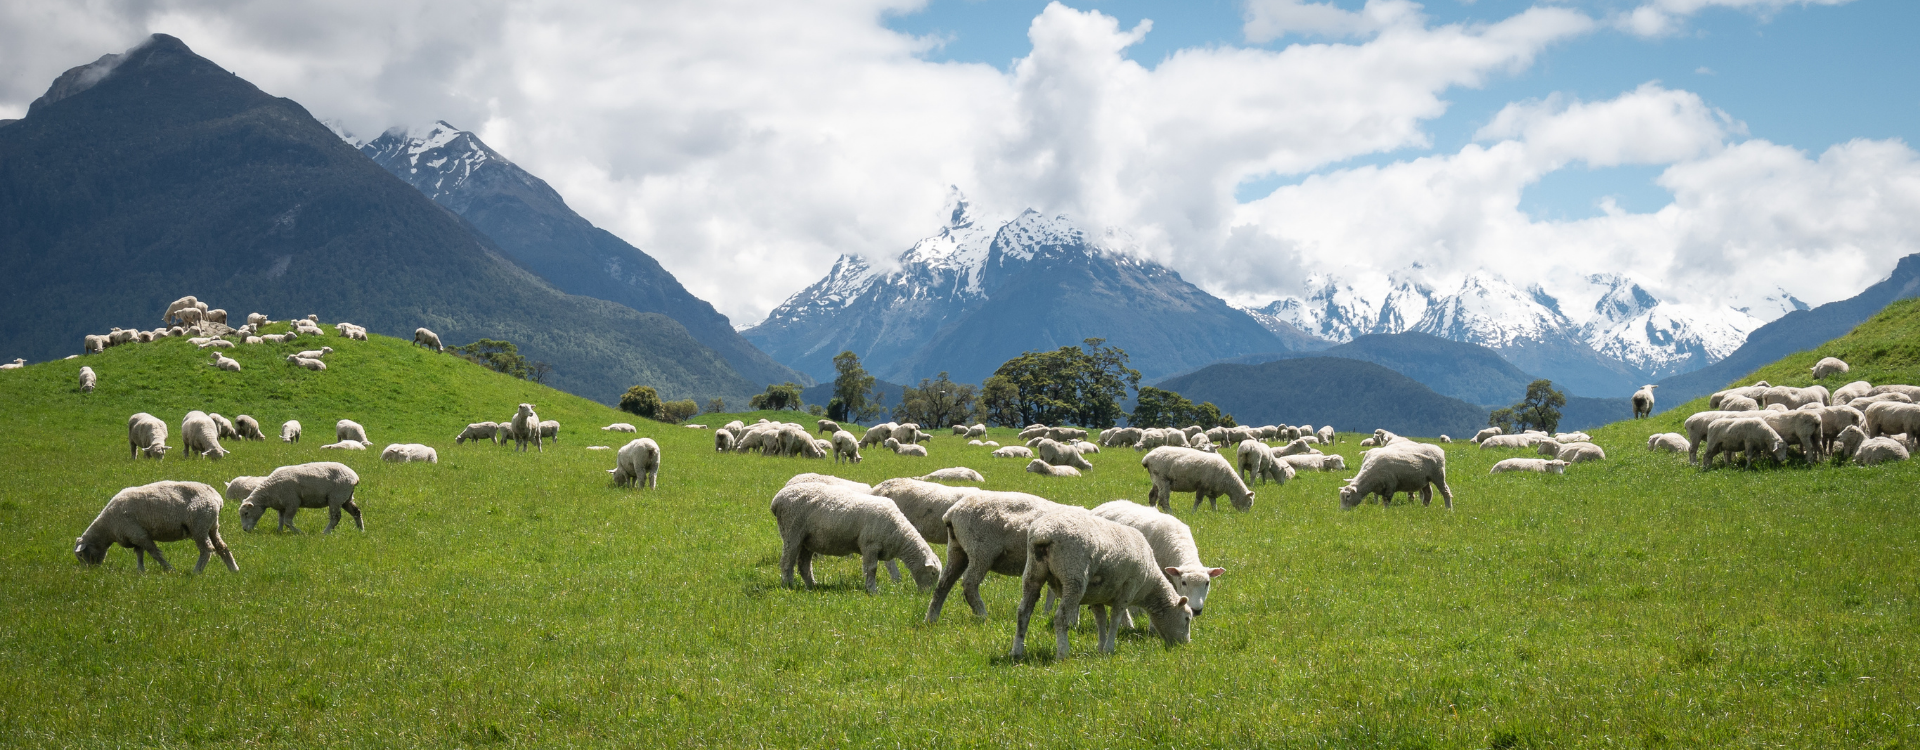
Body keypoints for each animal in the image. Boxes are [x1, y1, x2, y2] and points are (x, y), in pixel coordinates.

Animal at [72, 481, 236, 575]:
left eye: (80, 555)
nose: (89, 571)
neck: (107, 527)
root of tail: (217, 498)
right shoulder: (136, 535)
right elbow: (139, 553)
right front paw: (141, 571)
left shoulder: (138, 534)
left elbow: (154, 553)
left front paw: (169, 569)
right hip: (212, 526)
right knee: (222, 547)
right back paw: (234, 570)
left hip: (199, 525)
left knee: (206, 550)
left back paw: (196, 572)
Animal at [768, 481, 940, 594]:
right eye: (933, 574)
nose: (928, 595)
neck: (899, 533)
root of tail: (777, 499)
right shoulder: (870, 545)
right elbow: (871, 569)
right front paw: (872, 590)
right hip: (791, 531)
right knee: (786, 562)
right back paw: (788, 585)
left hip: (808, 540)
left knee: (803, 564)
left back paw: (812, 585)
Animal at [925, 487, 1075, 621]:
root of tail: (951, 513)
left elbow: (1052, 592)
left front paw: (1046, 614)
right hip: (981, 551)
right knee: (969, 583)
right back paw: (982, 615)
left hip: (957, 549)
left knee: (944, 583)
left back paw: (931, 618)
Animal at [1013, 506, 1190, 659]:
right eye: (1188, 618)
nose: (1184, 645)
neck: (1148, 586)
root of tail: (1044, 533)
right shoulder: (1128, 588)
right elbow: (1115, 619)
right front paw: (1109, 648)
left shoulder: (1096, 594)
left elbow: (1101, 620)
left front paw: (1101, 648)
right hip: (1073, 575)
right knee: (1060, 617)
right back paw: (1063, 653)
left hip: (1033, 573)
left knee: (1023, 612)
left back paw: (1016, 651)